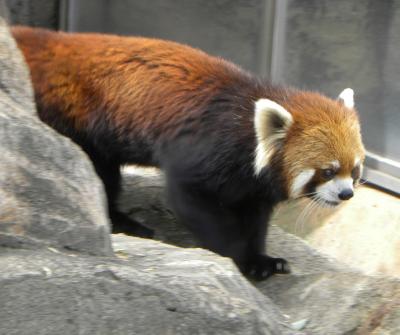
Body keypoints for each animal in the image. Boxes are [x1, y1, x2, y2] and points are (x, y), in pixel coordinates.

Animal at [11, 26, 366, 280]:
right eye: (328, 170)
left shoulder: (253, 185)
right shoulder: (205, 151)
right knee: (98, 175)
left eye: (355, 170)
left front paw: (263, 259)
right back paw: (123, 222)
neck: (246, 131)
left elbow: (255, 219)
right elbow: (193, 202)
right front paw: (240, 259)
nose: (346, 194)